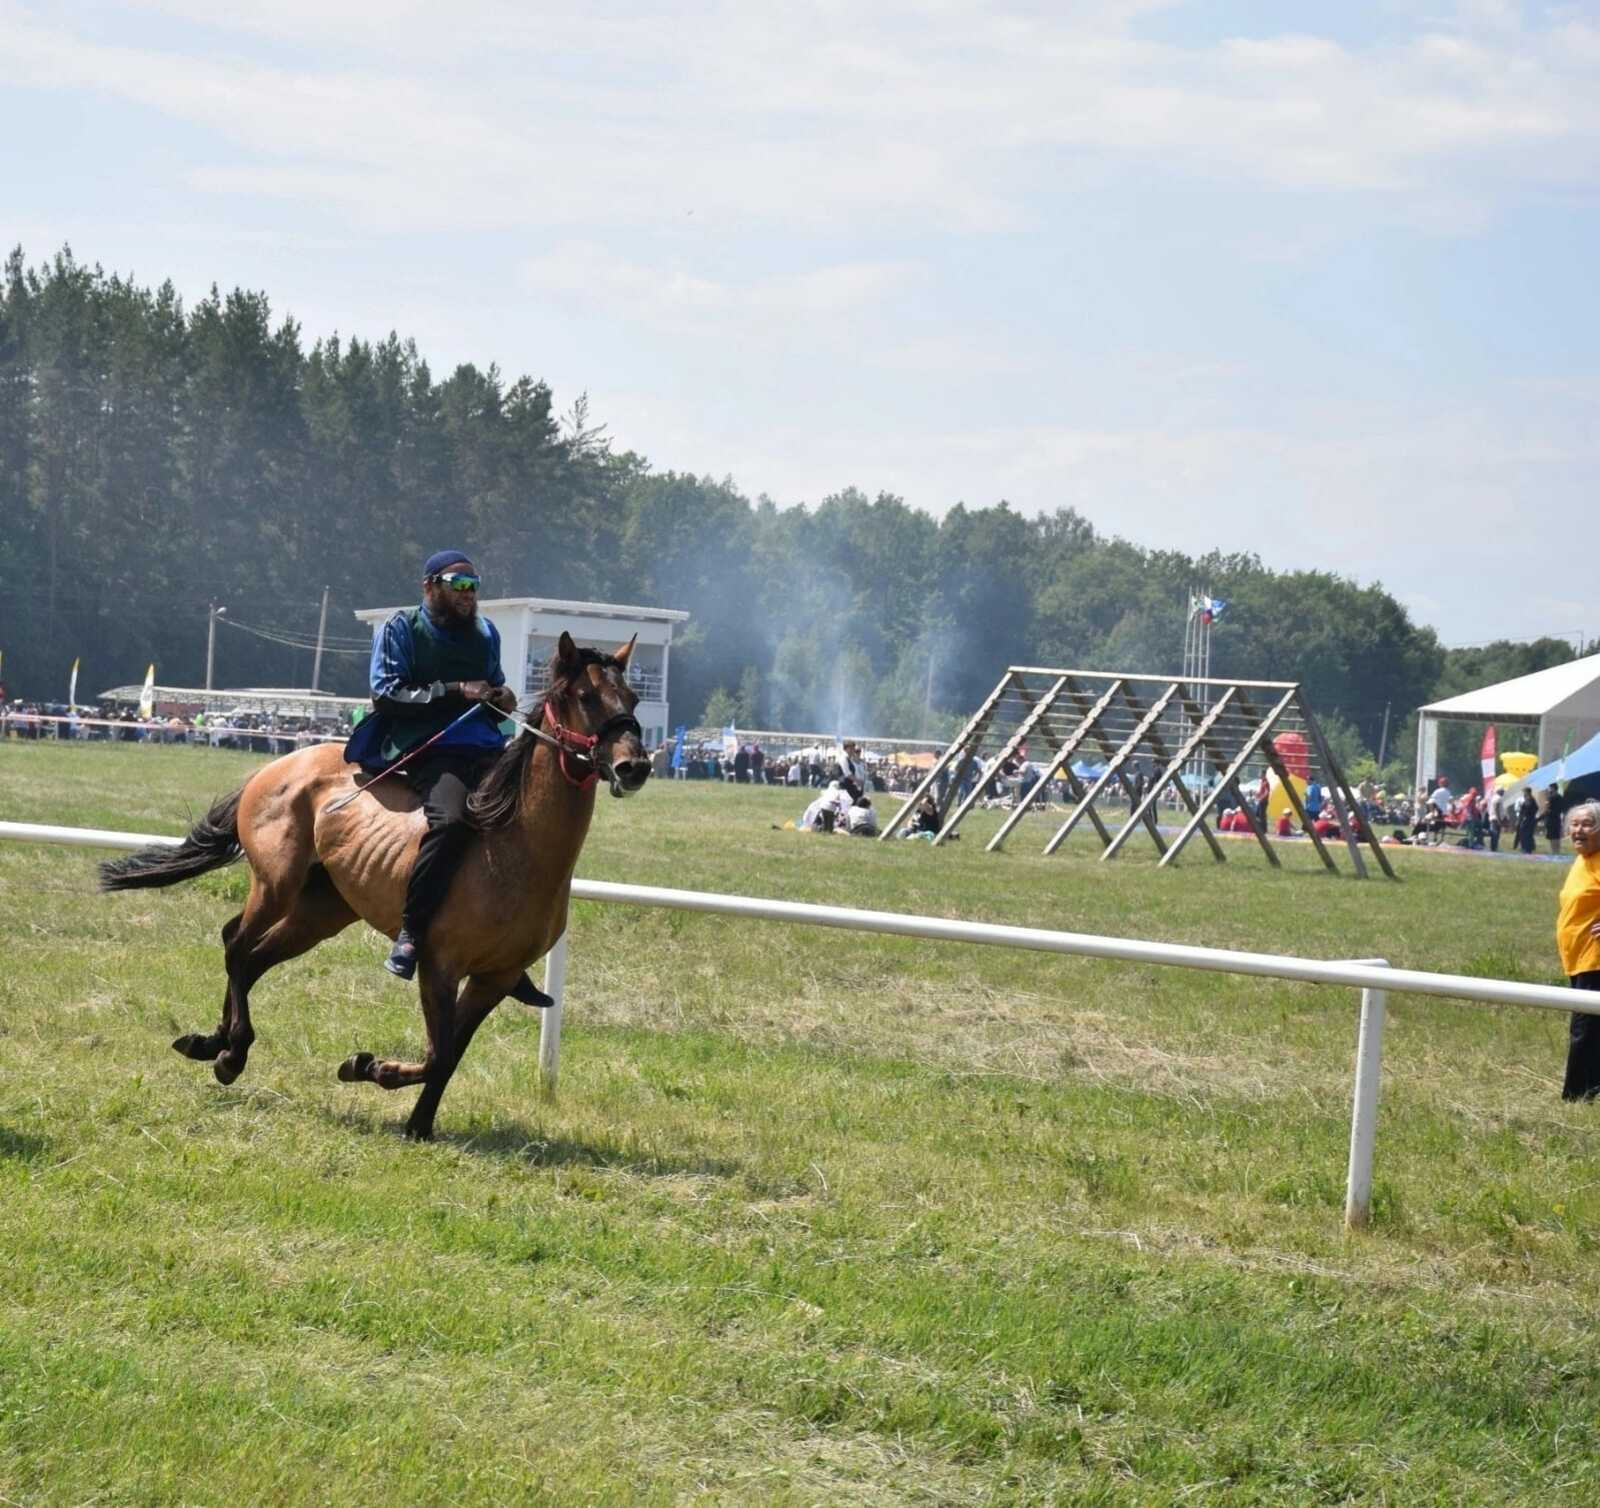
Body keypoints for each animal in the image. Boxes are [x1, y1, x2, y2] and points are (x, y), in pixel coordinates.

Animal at [100, 630, 646, 1139]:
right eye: (586, 696)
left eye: (633, 699)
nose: (635, 765)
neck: (513, 847)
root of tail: (280, 764)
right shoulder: (438, 964)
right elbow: (437, 1052)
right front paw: (368, 1066)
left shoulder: (494, 978)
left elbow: (449, 1055)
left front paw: (418, 1124)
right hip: (276, 884)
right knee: (236, 945)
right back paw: (232, 1053)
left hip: (320, 911)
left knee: (250, 956)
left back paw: (212, 1042)